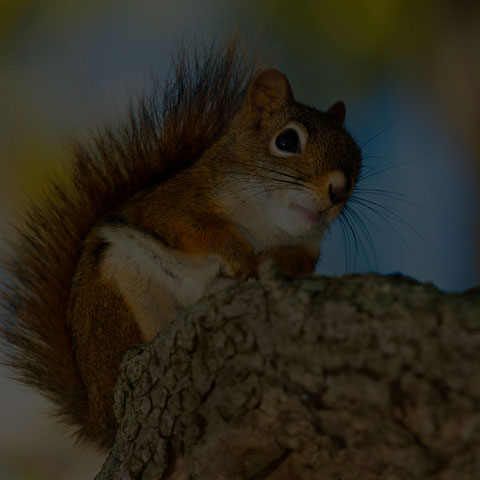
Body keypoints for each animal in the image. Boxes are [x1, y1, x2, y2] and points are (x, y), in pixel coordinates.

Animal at [0, 36, 360, 450]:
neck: (267, 223)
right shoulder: (174, 204)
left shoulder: (305, 248)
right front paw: (239, 255)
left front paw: (265, 265)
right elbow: (195, 229)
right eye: (287, 140)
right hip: (119, 297)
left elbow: (294, 262)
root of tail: (98, 417)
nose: (338, 191)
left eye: (357, 160)